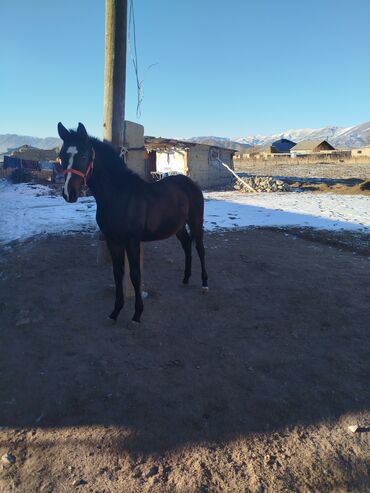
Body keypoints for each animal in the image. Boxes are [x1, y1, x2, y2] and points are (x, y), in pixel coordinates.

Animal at [57, 122, 208, 322]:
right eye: (61, 156)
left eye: (83, 155)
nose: (69, 194)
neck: (118, 195)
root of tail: (190, 183)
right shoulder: (113, 241)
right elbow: (117, 273)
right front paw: (115, 312)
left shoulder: (132, 241)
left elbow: (135, 276)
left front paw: (137, 314)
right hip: (178, 226)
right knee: (186, 245)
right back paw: (185, 279)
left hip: (196, 221)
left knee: (200, 248)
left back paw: (205, 284)